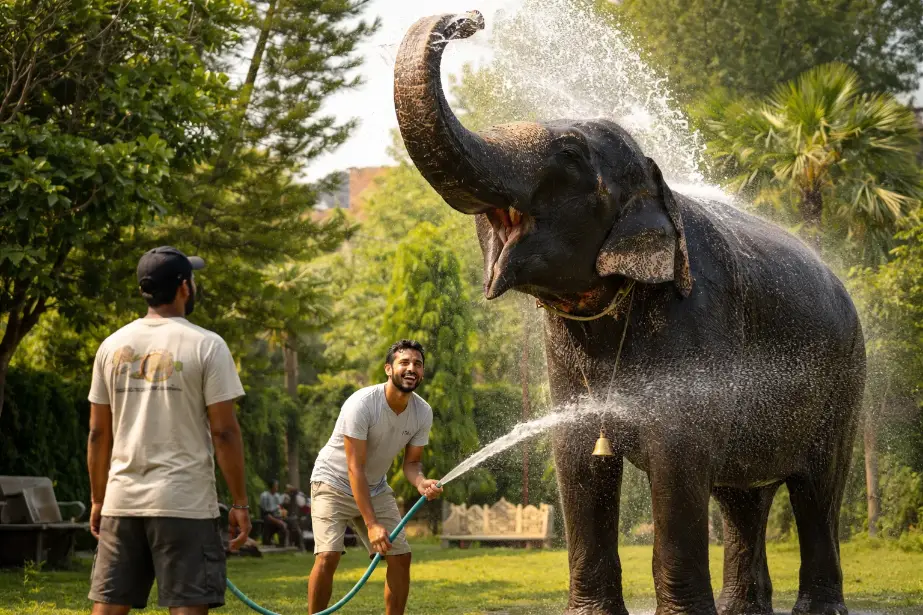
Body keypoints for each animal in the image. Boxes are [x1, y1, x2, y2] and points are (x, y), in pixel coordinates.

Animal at [393, 11, 866, 615]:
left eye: (570, 154)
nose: (472, 19)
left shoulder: (697, 318)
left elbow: (677, 455)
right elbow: (577, 460)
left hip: (844, 382)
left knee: (817, 487)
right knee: (742, 495)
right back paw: (743, 608)